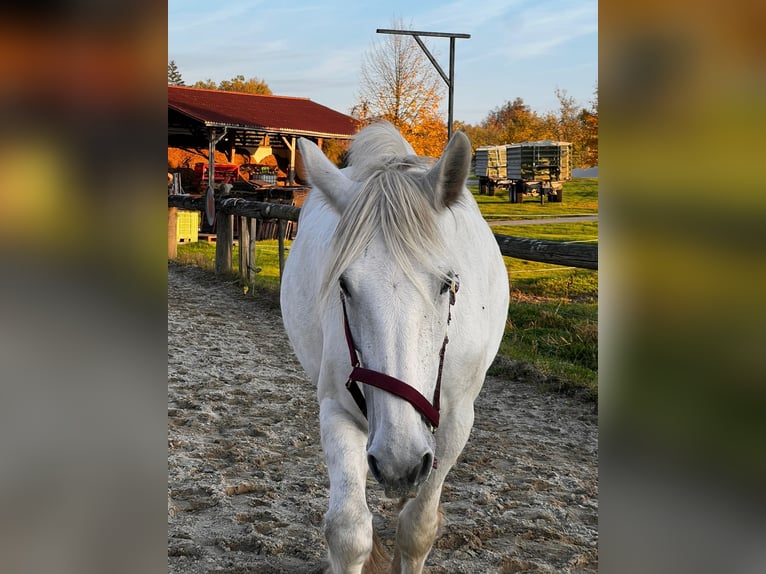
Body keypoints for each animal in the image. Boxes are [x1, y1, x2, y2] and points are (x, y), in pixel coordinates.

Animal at [280, 121, 509, 574]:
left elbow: (416, 529)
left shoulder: (456, 423)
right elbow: (348, 532)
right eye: (344, 285)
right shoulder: (336, 410)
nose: (397, 463)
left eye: (447, 283)